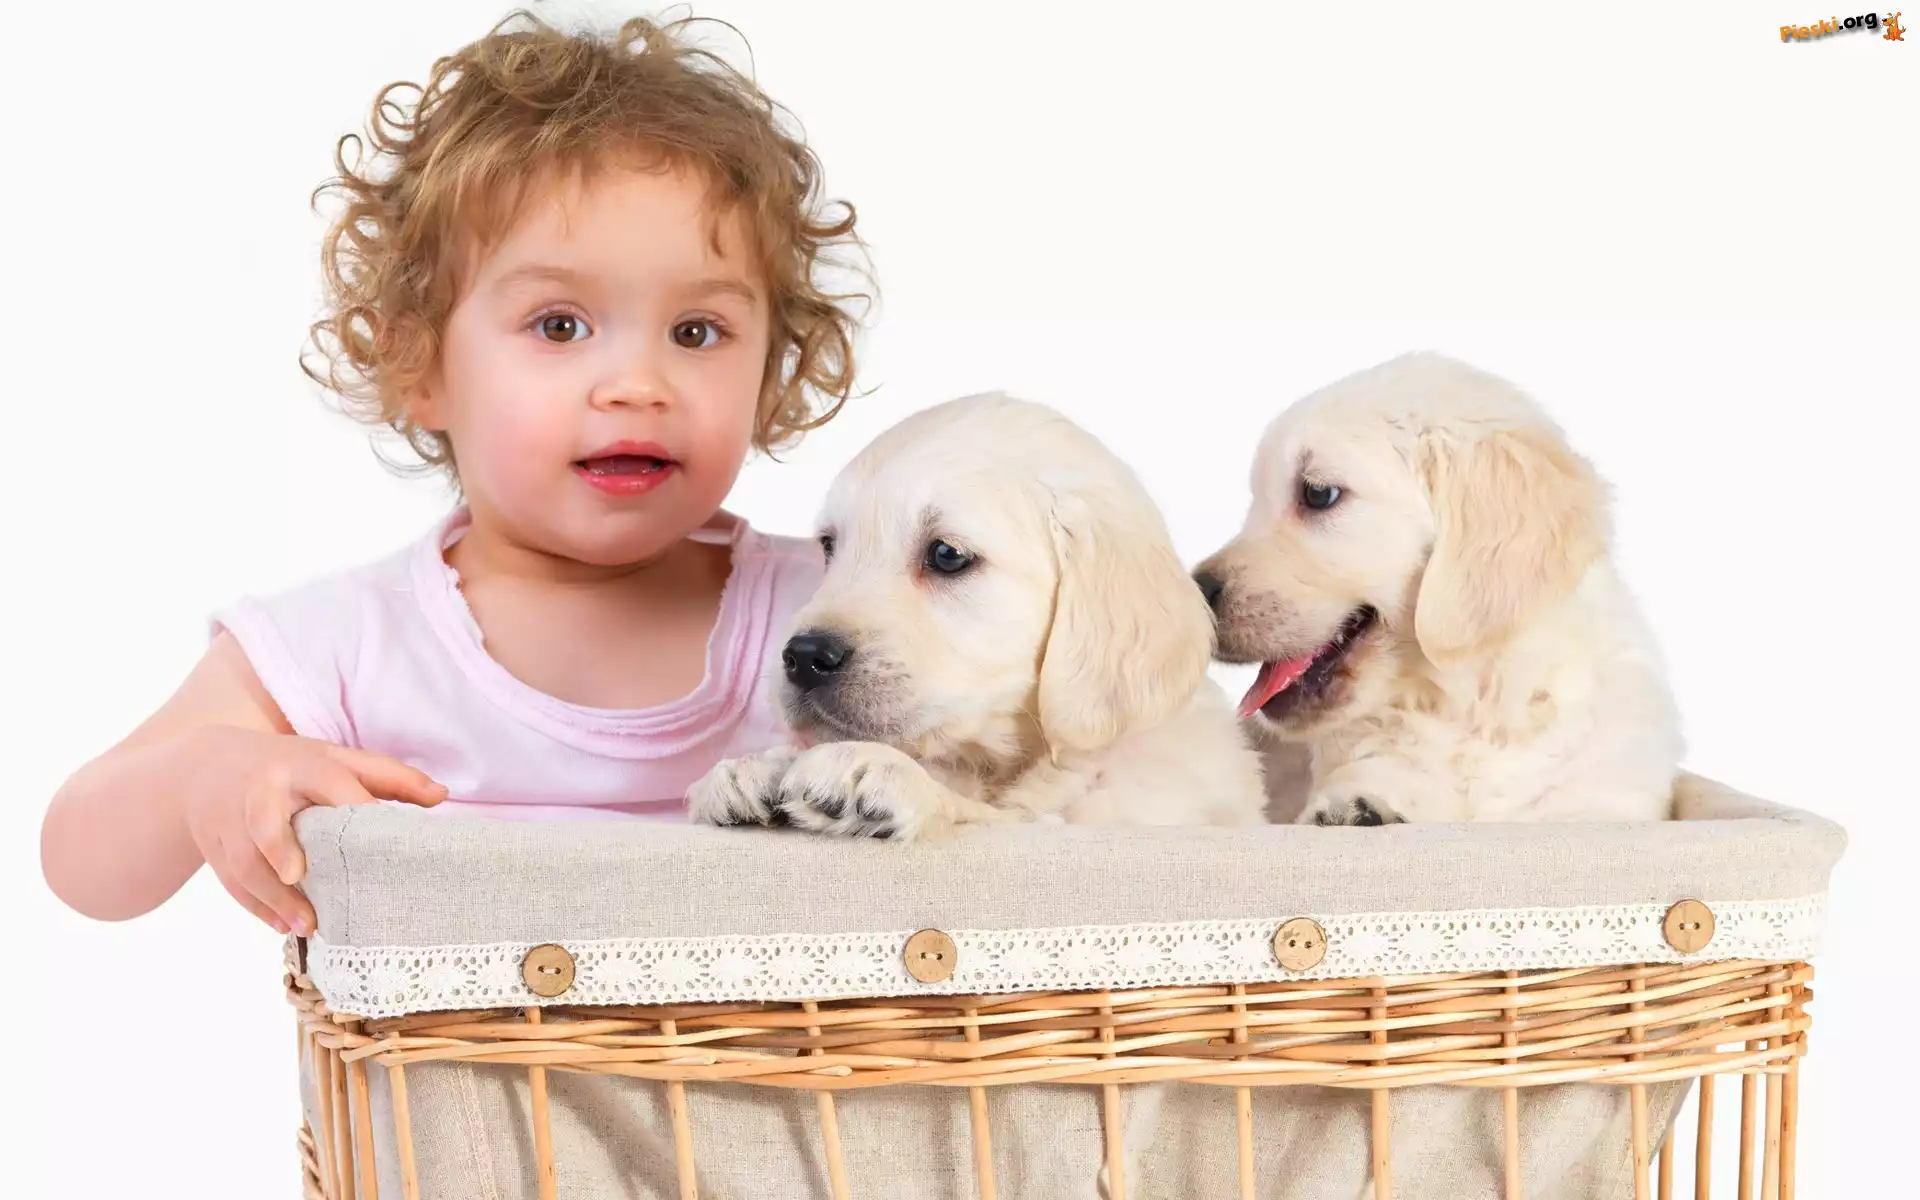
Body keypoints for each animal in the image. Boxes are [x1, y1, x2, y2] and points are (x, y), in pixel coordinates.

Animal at [689, 393, 1267, 839]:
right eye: (829, 547)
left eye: (947, 555)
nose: (803, 656)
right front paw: (754, 769)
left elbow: (1000, 818)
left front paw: (887, 774)